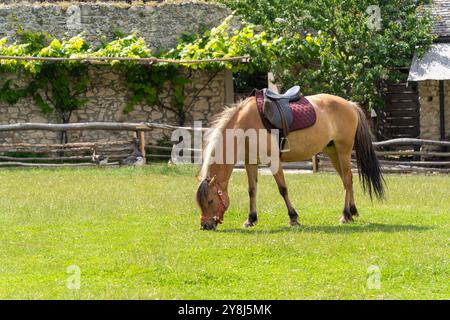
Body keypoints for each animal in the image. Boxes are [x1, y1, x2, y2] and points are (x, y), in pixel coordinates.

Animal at [195, 92, 384, 230]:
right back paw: (352, 211)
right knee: (348, 180)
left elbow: (283, 189)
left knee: (346, 180)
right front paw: (251, 219)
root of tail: (349, 104)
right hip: (333, 152)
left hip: (343, 151)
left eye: (210, 201)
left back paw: (345, 215)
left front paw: (293, 218)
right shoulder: (251, 162)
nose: (205, 226)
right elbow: (252, 190)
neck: (245, 125)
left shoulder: (273, 161)